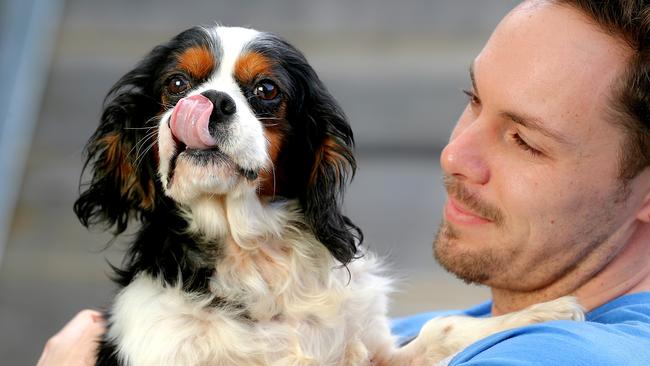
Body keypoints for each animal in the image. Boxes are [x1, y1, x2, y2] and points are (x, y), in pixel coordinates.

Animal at [74, 25, 584, 366]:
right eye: (177, 84)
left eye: (266, 89)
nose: (209, 102)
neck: (251, 252)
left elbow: (444, 325)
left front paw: (543, 312)